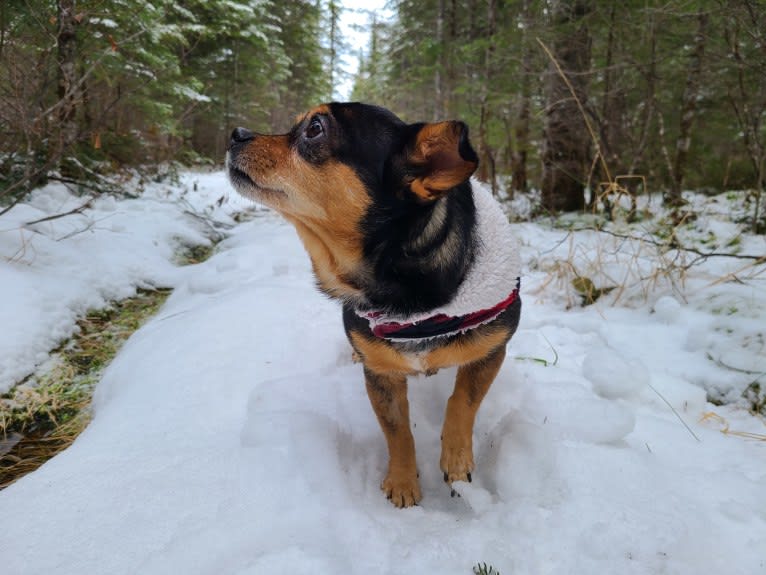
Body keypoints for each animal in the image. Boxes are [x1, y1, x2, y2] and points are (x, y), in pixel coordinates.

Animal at [226, 103, 520, 508]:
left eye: (315, 128)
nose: (235, 133)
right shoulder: (381, 375)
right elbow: (397, 432)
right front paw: (402, 482)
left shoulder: (490, 351)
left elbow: (462, 402)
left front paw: (457, 461)